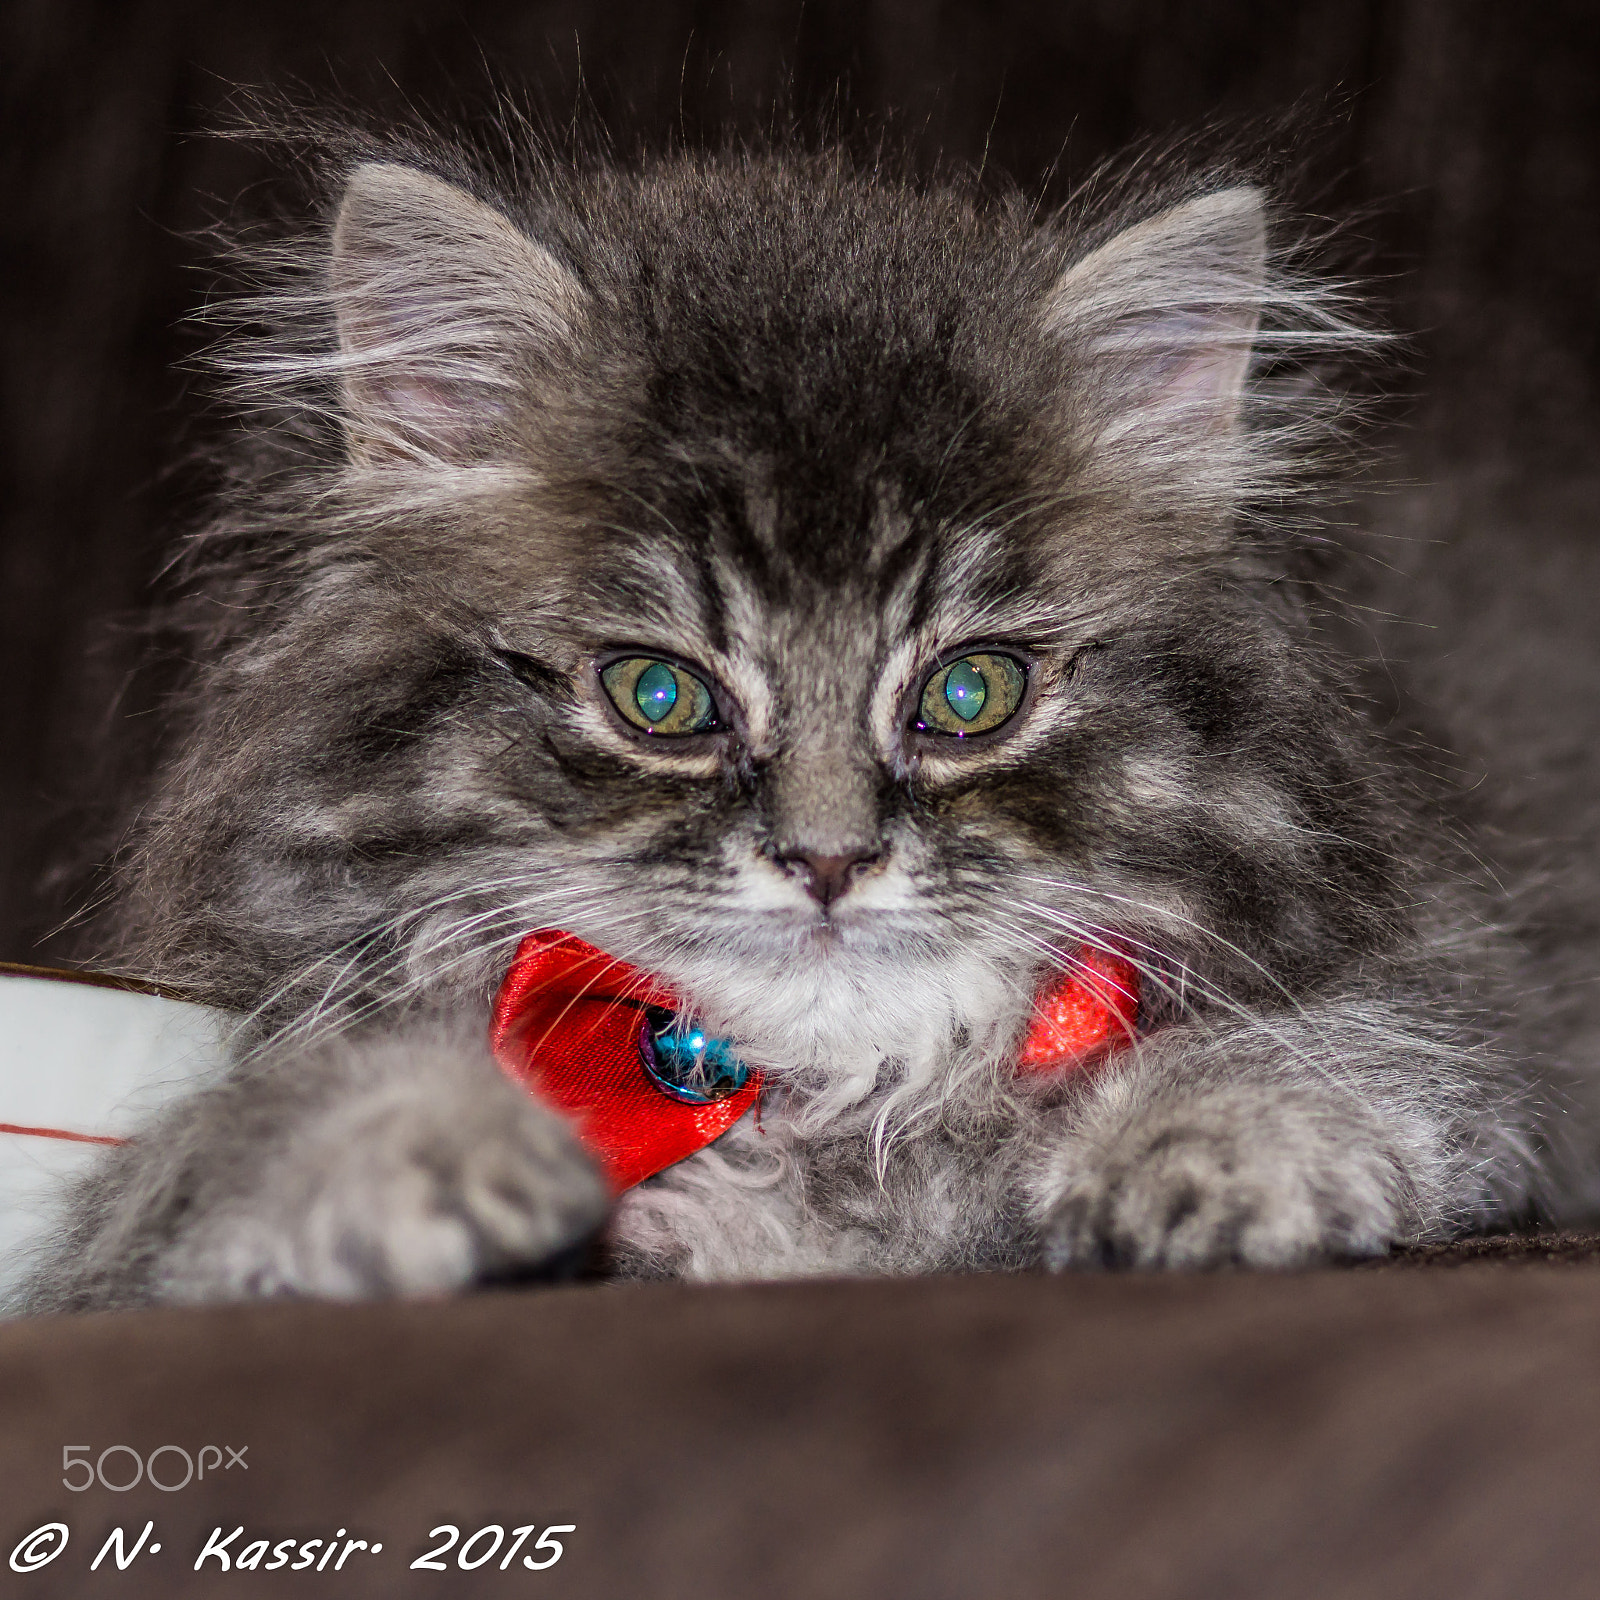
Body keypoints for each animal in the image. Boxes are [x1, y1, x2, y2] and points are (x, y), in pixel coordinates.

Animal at [15, 128, 1587, 1312]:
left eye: (970, 694)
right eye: (658, 697)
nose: (828, 861)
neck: (820, 1100)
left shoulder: (1457, 1007)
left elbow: (1369, 1053)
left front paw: (1209, 1138)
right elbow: (198, 1162)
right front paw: (414, 1140)